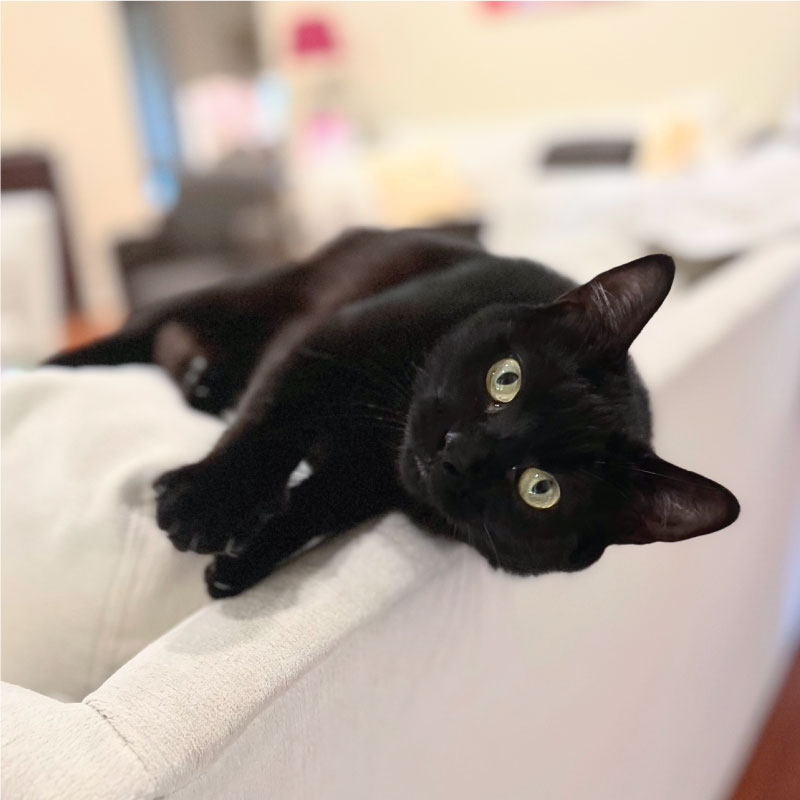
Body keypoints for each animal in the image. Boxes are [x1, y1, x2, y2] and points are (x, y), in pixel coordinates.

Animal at [48, 228, 736, 596]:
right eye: (506, 378)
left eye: (542, 490)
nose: (458, 453)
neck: (383, 432)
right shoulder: (330, 339)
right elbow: (275, 421)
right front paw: (207, 504)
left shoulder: (370, 481)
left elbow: (314, 507)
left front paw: (242, 563)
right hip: (261, 292)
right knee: (147, 326)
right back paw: (53, 367)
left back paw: (202, 382)